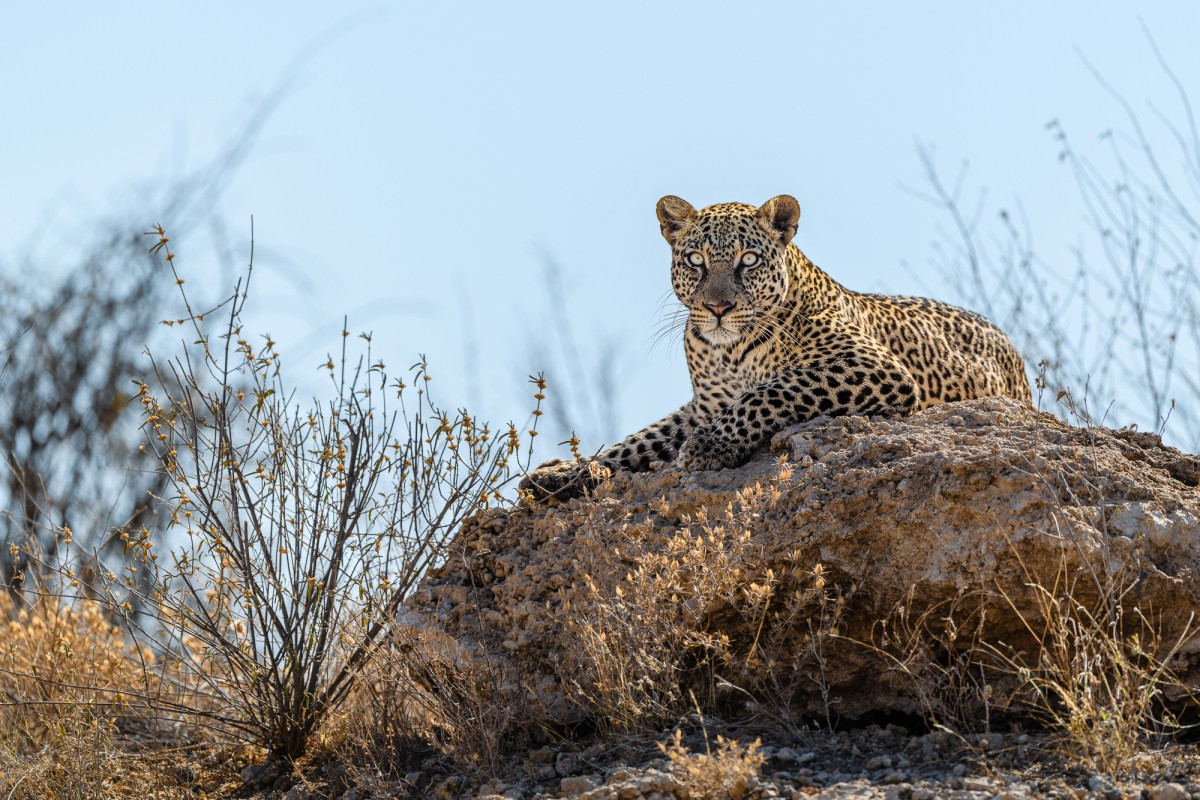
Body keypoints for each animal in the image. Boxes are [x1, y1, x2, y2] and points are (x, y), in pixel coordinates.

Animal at [520, 194, 1036, 501]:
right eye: (695, 260)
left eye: (748, 260)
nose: (718, 307)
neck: (727, 351)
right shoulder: (704, 404)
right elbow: (637, 441)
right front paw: (561, 474)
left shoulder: (870, 366)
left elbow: (770, 392)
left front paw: (708, 446)